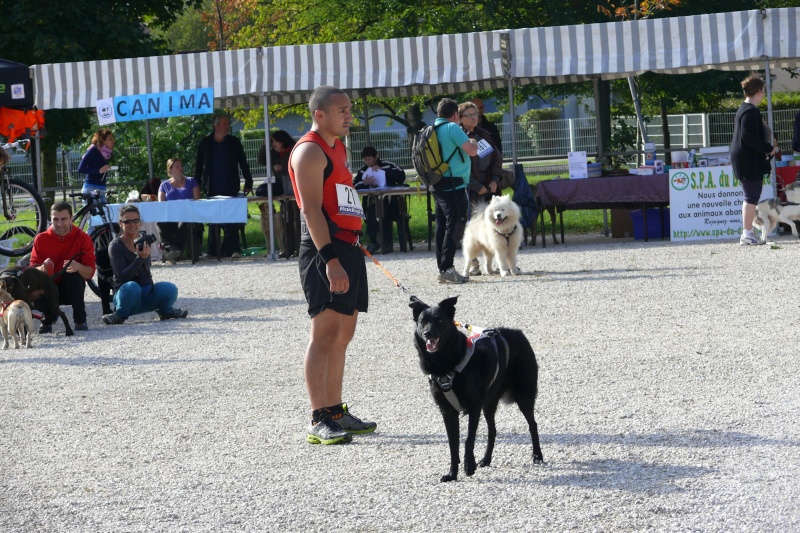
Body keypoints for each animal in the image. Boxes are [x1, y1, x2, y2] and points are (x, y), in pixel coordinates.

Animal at [412, 296, 544, 482]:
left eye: (439, 320)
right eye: (422, 322)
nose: (427, 333)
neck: (445, 363)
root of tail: (519, 333)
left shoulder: (474, 407)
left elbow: (468, 439)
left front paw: (469, 466)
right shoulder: (448, 411)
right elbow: (453, 444)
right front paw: (452, 474)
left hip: (523, 395)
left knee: (533, 424)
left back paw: (537, 456)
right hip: (489, 403)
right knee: (493, 430)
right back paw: (486, 459)